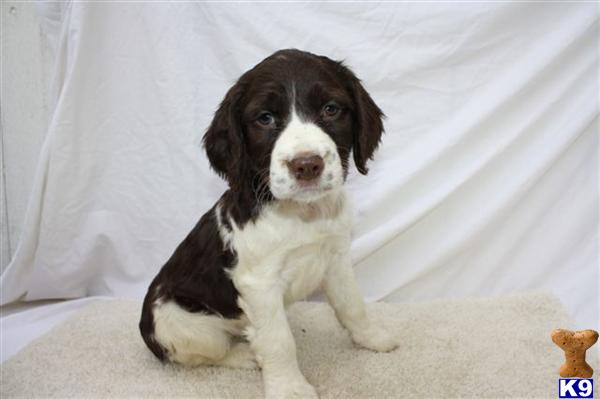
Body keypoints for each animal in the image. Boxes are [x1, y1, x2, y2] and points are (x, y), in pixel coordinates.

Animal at [138, 48, 396, 398]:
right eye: (265, 118)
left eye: (331, 109)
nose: (307, 165)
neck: (303, 214)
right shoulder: (258, 283)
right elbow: (278, 341)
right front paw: (290, 388)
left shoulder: (337, 259)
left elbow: (351, 305)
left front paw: (371, 338)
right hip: (179, 324)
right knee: (209, 351)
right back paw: (245, 354)